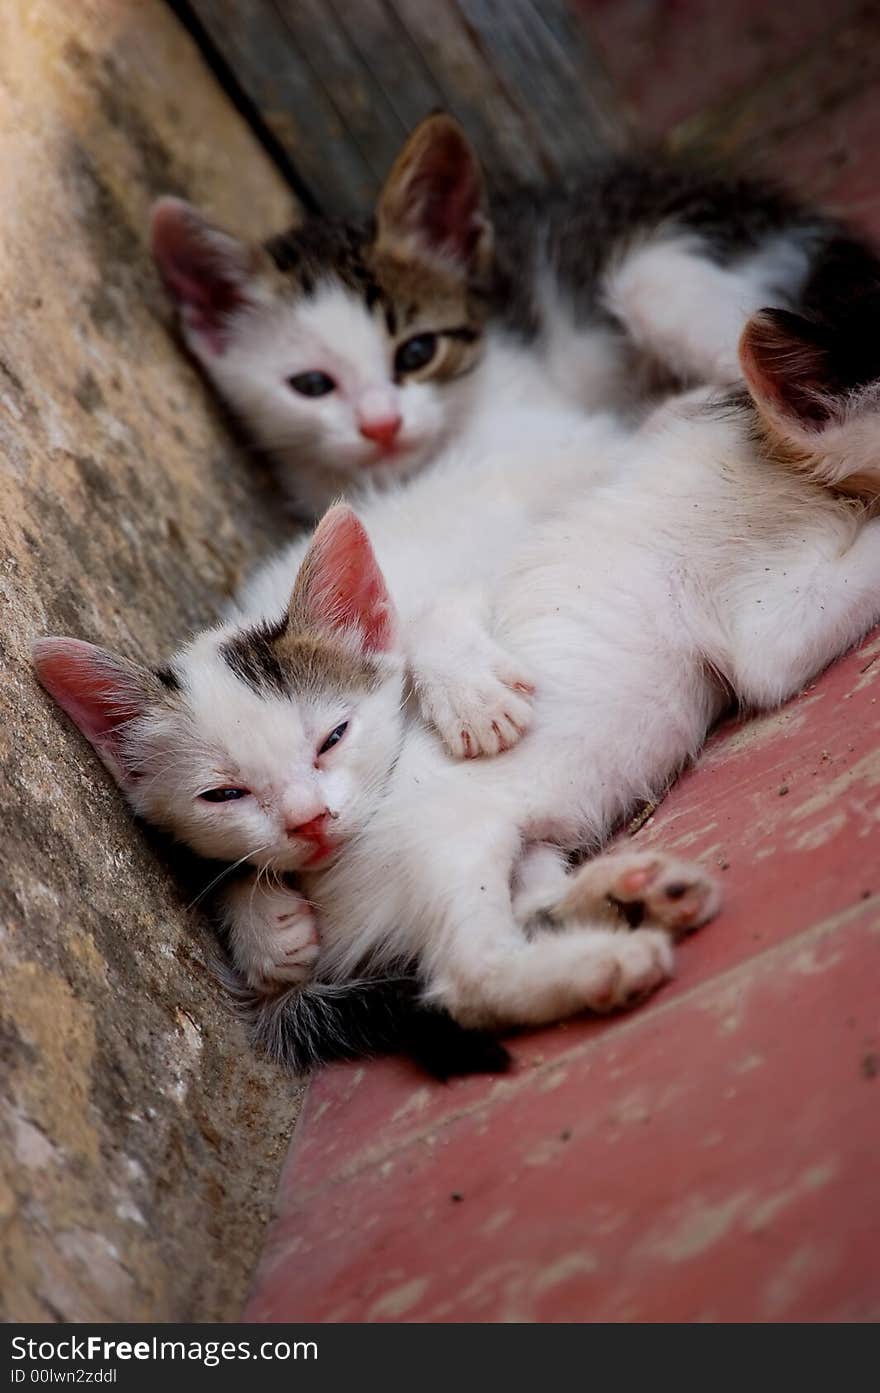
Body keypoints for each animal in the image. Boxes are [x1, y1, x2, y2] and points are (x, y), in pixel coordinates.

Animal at [36, 302, 880, 1064]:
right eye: (223, 793)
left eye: (333, 738)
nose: (309, 820)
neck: (756, 448)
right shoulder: (756, 616)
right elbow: (807, 616)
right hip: (446, 850)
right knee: (471, 976)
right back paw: (603, 959)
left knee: (529, 899)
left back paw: (633, 893)